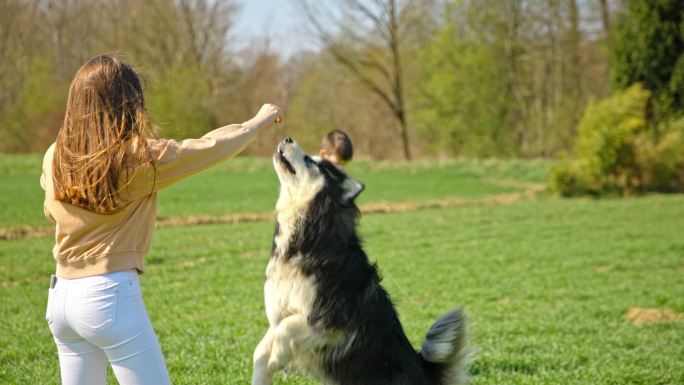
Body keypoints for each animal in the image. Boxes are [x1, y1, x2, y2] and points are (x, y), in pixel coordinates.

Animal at [251, 137, 470, 384]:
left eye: (310, 161)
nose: (288, 138)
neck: (308, 240)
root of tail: (426, 372)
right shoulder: (281, 313)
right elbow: (261, 349)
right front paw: (263, 371)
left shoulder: (331, 322)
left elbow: (286, 329)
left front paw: (278, 356)